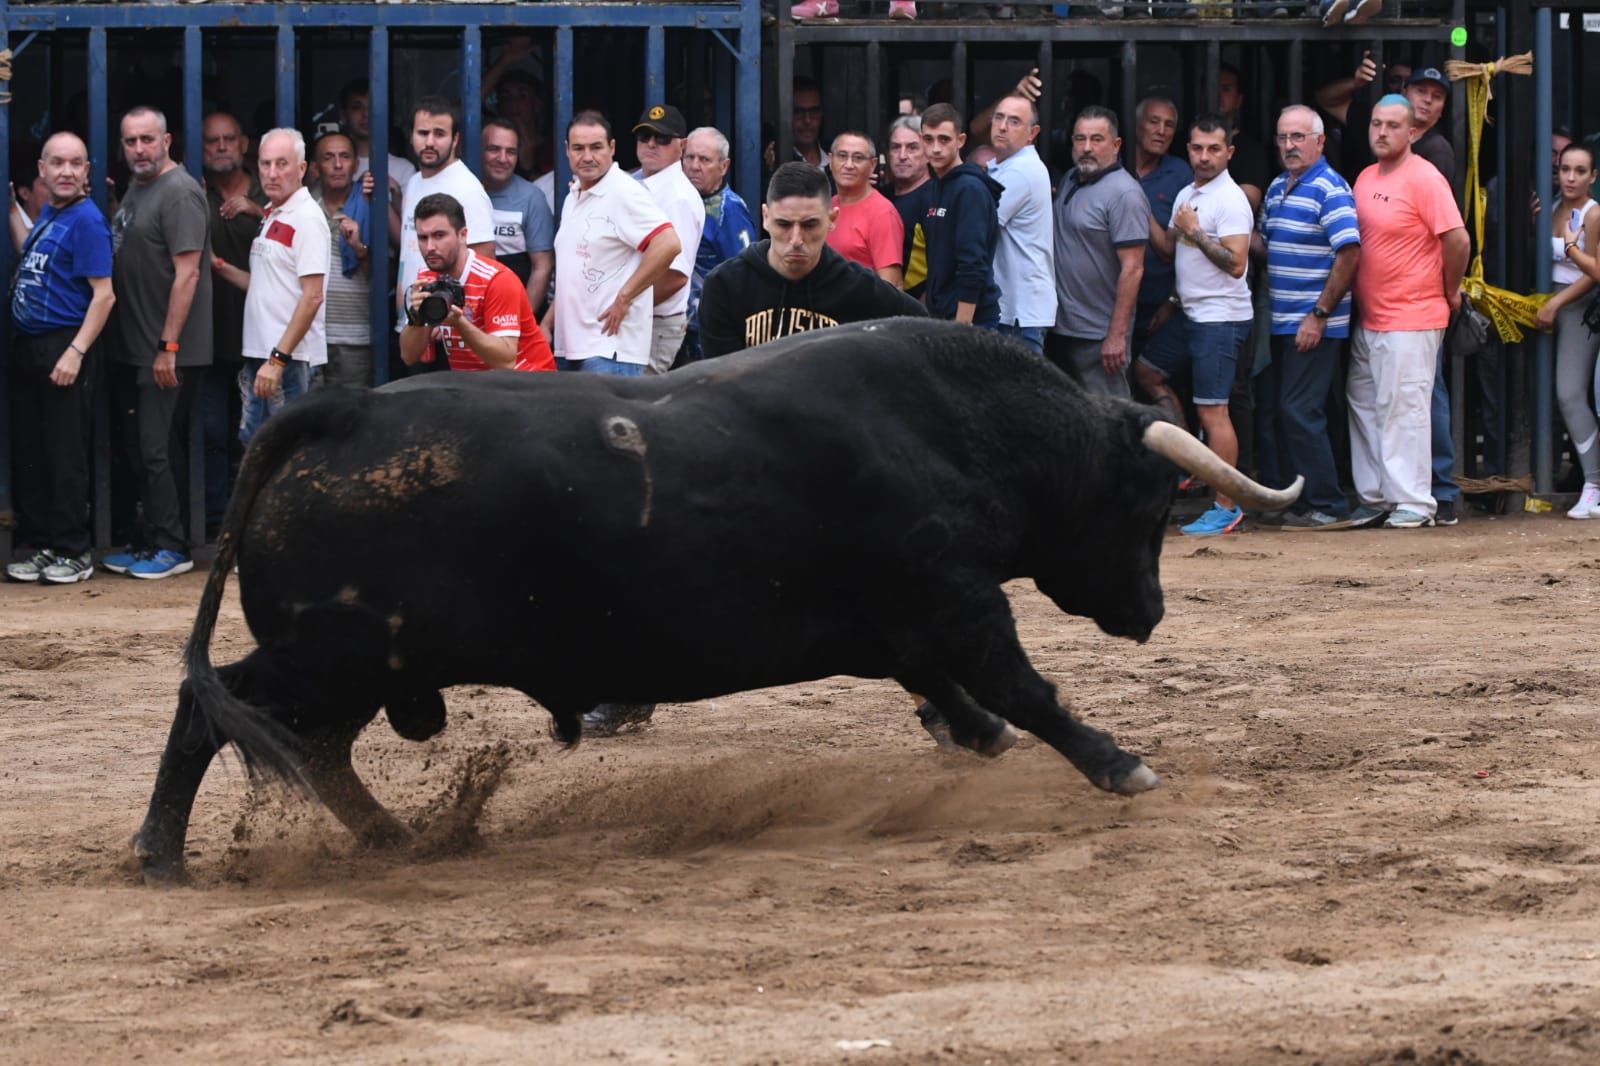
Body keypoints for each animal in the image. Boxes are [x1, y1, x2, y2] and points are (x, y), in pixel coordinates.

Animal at [128, 316, 1299, 877]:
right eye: (1148, 501)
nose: (1149, 613)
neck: (959, 424)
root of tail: (336, 413)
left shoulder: (904, 621)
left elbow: (951, 691)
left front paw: (981, 740)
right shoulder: (958, 603)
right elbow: (1026, 689)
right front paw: (1118, 763)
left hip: (367, 663)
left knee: (315, 751)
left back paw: (392, 838)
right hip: (331, 653)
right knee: (212, 708)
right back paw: (159, 853)